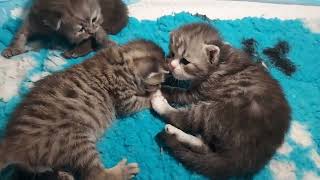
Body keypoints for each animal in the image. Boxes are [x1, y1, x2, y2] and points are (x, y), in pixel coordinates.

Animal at [0, 39, 168, 180]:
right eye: (157, 83)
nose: (160, 86)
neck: (121, 58)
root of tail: (12, 144)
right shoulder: (125, 99)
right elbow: (140, 102)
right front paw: (157, 96)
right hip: (77, 141)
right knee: (96, 175)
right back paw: (122, 171)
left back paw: (64, 175)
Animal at [1, 0, 129, 58]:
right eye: (80, 29)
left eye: (93, 19)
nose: (91, 31)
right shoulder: (33, 18)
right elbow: (20, 33)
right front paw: (13, 48)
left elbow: (98, 35)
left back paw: (75, 51)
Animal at [151, 23, 292, 178]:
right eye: (171, 54)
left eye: (185, 61)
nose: (171, 65)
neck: (220, 60)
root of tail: (247, 158)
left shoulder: (198, 92)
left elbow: (178, 92)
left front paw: (160, 87)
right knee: (205, 147)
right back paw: (175, 133)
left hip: (215, 111)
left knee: (184, 119)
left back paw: (159, 104)